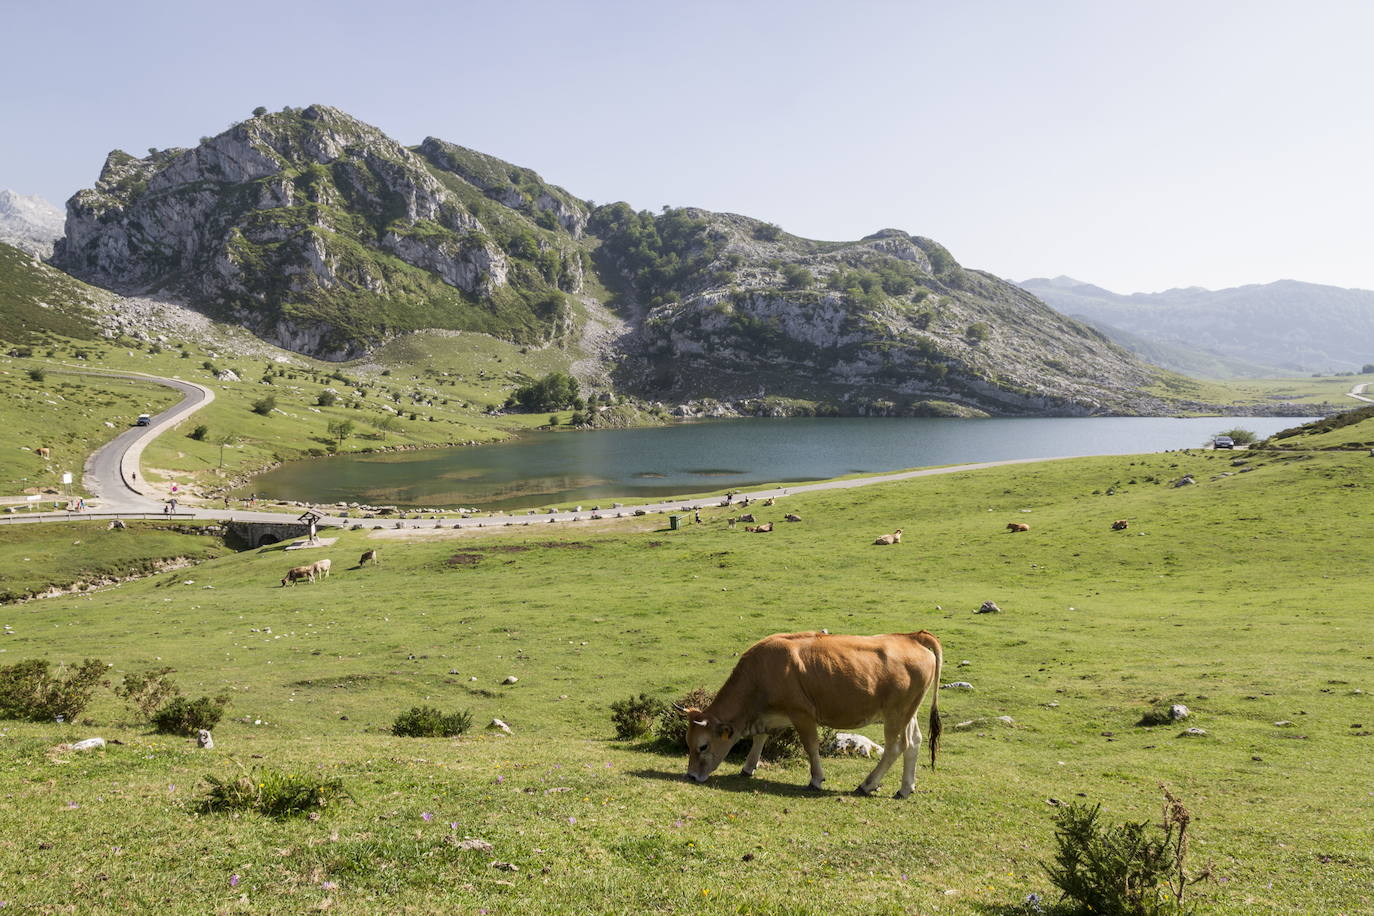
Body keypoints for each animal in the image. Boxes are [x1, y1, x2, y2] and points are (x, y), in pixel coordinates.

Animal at [678, 626, 939, 796]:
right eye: (688, 743)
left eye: (703, 746)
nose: (691, 776)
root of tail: (912, 637)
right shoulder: (770, 715)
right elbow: (760, 738)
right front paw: (748, 767)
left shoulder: (802, 714)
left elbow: (811, 746)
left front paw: (816, 779)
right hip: (909, 713)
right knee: (914, 743)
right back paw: (905, 788)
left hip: (896, 714)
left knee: (896, 747)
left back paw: (867, 785)